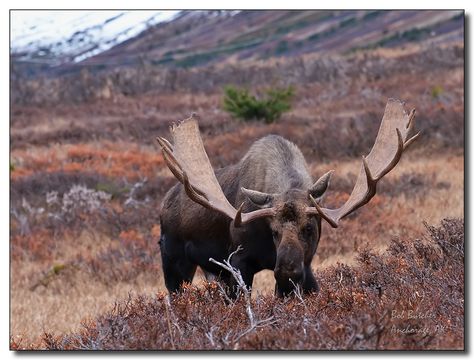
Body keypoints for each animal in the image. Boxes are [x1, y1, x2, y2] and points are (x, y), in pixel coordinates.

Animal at [156, 99, 418, 298]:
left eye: (309, 228)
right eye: (274, 231)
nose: (286, 272)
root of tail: (164, 203)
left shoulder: (307, 264)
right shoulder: (238, 263)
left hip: (213, 271)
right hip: (174, 261)